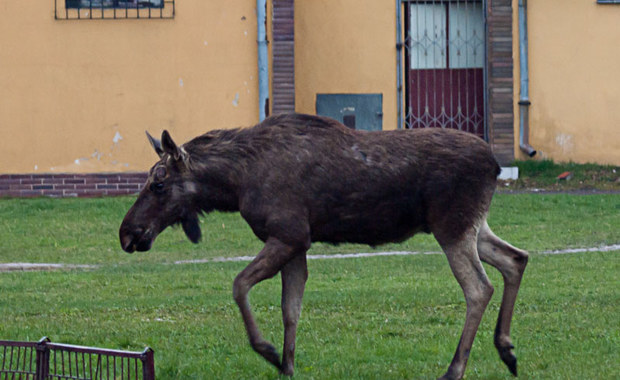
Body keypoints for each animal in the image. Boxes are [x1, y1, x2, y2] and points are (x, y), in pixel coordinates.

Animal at [120, 113, 528, 380]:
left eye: (158, 183)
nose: (128, 233)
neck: (235, 185)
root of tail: (496, 165)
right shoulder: (297, 244)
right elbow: (291, 309)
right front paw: (286, 366)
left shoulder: (288, 235)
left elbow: (239, 285)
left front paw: (268, 351)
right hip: (472, 226)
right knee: (516, 258)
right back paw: (507, 350)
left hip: (452, 226)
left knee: (479, 288)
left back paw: (455, 368)